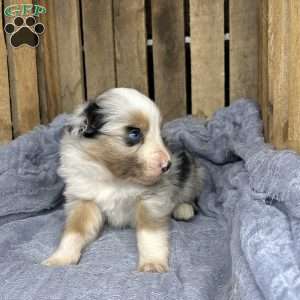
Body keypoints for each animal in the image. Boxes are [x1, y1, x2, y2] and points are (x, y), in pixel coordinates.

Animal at [41, 88, 204, 272]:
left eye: (160, 134)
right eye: (134, 133)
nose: (167, 165)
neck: (114, 177)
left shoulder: (150, 199)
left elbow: (150, 234)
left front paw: (152, 263)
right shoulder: (84, 200)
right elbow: (75, 231)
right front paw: (61, 258)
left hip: (191, 172)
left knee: (188, 194)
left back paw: (183, 209)